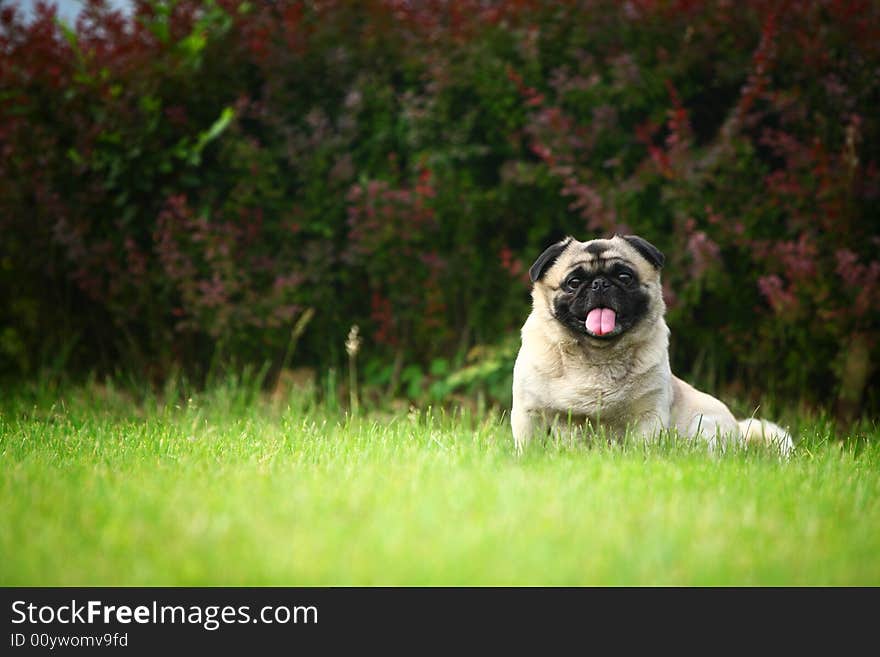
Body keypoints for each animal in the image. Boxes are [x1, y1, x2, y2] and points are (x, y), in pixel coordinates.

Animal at [508, 236, 792, 456]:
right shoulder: (530, 412)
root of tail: (740, 432)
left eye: (625, 276)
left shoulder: (648, 415)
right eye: (574, 283)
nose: (600, 283)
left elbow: (642, 446)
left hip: (704, 425)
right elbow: (530, 446)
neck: (597, 355)